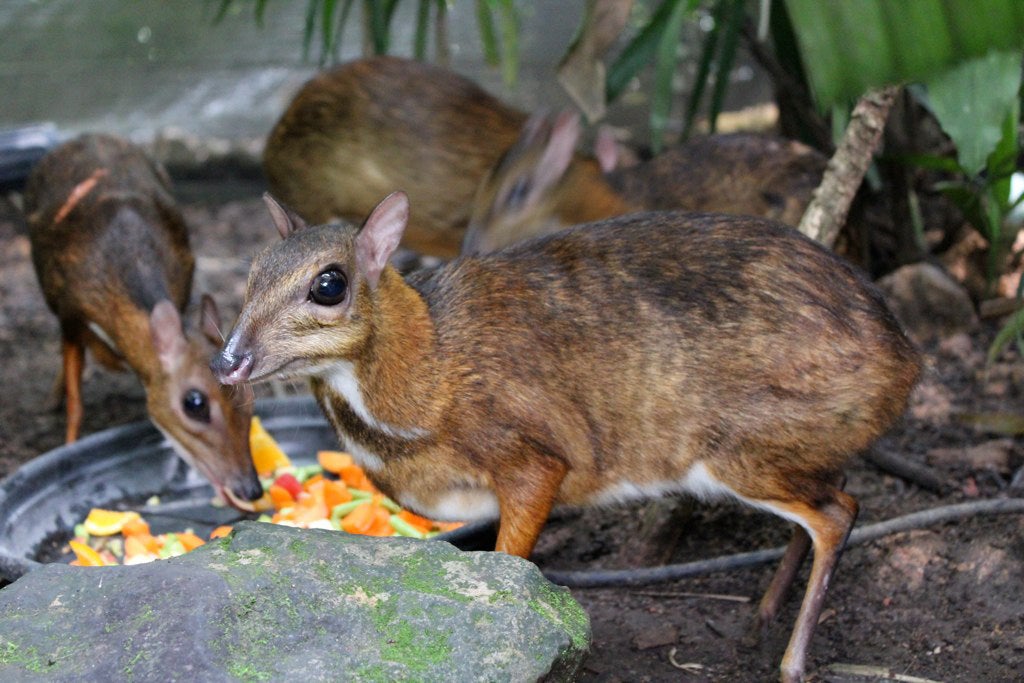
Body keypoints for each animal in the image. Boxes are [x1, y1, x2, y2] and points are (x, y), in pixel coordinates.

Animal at [25, 132, 264, 507]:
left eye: (249, 397)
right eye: (194, 404)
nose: (251, 488)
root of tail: (86, 137)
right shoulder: (69, 317)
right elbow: (77, 404)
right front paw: (68, 447)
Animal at [214, 188, 921, 683]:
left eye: (329, 284)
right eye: (249, 275)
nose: (228, 361)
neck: (429, 369)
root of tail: (906, 356)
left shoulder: (533, 456)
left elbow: (511, 560)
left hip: (743, 451)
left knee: (839, 512)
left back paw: (790, 662)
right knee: (834, 492)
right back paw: (762, 616)